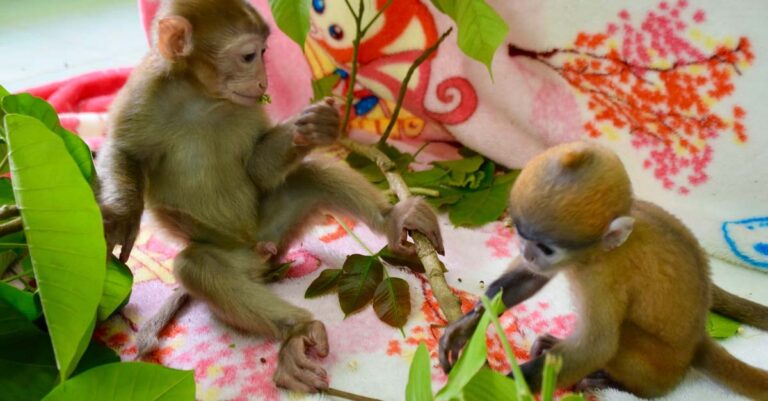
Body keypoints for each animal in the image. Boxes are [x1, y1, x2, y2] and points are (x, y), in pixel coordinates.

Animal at [97, 0, 444, 392]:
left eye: (263, 54)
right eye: (248, 56)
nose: (263, 80)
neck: (203, 98)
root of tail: (256, 249)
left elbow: (258, 169)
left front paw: (316, 126)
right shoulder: (144, 93)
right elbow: (123, 151)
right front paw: (123, 216)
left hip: (276, 228)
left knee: (312, 174)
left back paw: (394, 219)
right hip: (232, 256)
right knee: (198, 267)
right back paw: (296, 331)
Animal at [438, 142, 768, 398]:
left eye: (546, 247)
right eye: (522, 234)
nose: (528, 253)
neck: (596, 253)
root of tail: (697, 342)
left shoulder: (604, 277)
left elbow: (597, 346)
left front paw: (495, 388)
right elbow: (529, 280)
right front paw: (466, 325)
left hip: (661, 365)